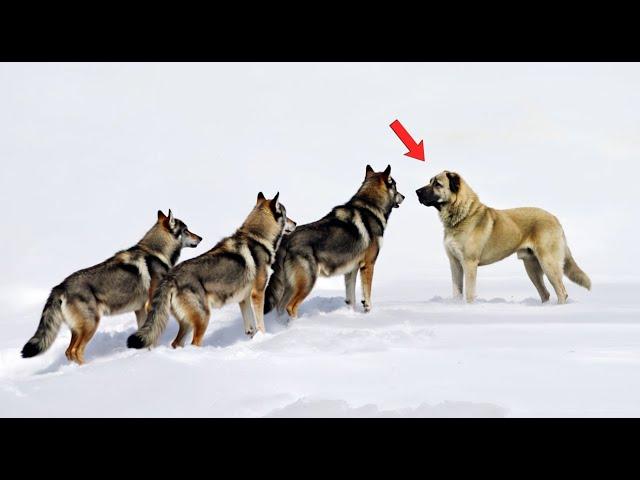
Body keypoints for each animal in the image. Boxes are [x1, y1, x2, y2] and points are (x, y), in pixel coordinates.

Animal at [20, 210, 200, 364]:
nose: (201, 238)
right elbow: (152, 333)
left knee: (69, 351)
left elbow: (144, 333)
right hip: (91, 325)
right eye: (186, 230)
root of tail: (60, 286)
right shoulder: (151, 305)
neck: (156, 253)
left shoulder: (141, 309)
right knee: (75, 351)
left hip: (78, 329)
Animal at [126, 191, 296, 348]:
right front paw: (264, 338)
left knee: (176, 343)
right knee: (194, 343)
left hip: (188, 323)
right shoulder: (257, 294)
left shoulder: (243, 299)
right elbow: (261, 325)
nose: (295, 223)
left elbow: (250, 328)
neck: (258, 238)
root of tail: (170, 277)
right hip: (204, 318)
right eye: (286, 214)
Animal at [264, 165, 404, 318]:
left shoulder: (351, 270)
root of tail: (285, 240)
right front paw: (368, 313)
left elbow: (351, 299)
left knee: (280, 307)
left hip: (290, 285)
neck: (370, 206)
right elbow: (367, 297)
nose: (404, 196)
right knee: (290, 307)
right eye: (395, 186)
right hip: (308, 282)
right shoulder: (368, 265)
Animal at [416, 171, 592, 302]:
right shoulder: (454, 263)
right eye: (430, 181)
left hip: (548, 263)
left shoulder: (469, 263)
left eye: (437, 184)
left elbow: (469, 294)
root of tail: (555, 218)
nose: (417, 191)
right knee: (546, 293)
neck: (461, 215)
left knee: (561, 292)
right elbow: (457, 292)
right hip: (532, 267)